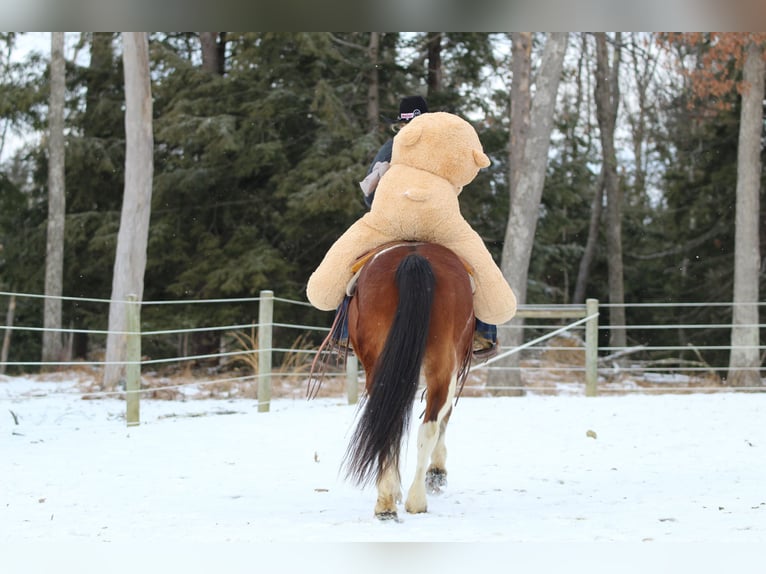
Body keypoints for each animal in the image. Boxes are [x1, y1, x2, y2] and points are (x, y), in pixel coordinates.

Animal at [340, 243, 474, 520]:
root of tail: (414, 257)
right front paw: (436, 474)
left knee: (390, 421)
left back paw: (388, 502)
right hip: (443, 365)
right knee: (426, 423)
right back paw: (414, 499)